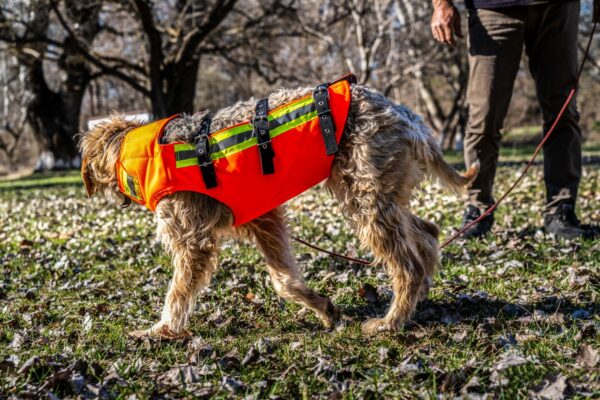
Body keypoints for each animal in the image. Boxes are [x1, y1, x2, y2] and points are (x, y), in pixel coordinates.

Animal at [78, 83, 478, 340]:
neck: (141, 153)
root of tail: (405, 115)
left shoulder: (193, 241)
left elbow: (176, 294)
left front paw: (162, 330)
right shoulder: (263, 219)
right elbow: (283, 280)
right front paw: (323, 308)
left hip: (366, 200)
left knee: (406, 264)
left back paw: (391, 321)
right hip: (383, 196)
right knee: (427, 234)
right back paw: (417, 298)